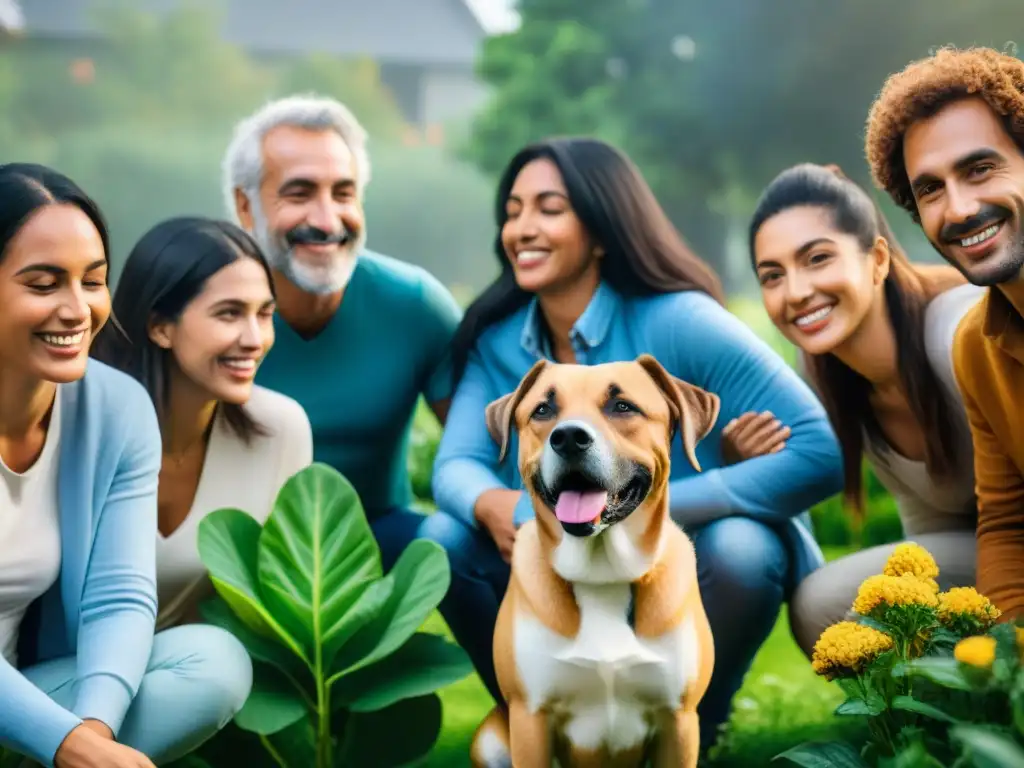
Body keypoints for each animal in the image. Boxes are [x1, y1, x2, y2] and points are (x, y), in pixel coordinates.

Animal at [471, 354, 720, 768]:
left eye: (622, 406)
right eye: (543, 409)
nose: (569, 438)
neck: (603, 573)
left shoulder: (679, 721)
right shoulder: (529, 719)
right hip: (489, 740)